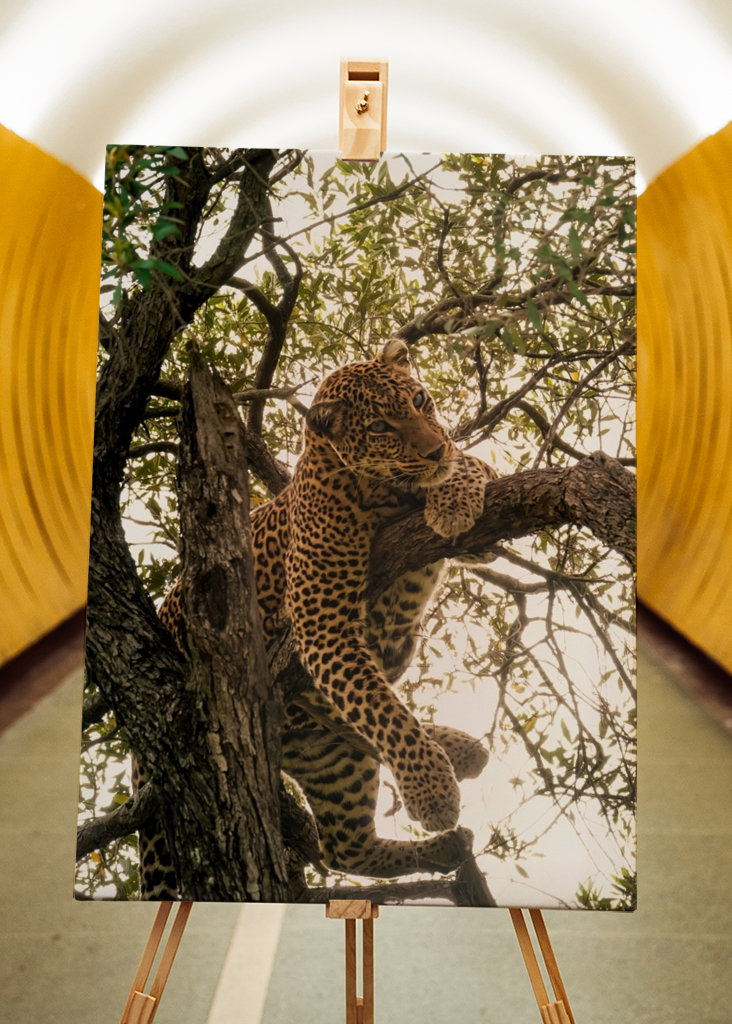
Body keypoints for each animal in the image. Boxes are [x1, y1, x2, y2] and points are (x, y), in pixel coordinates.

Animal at [135, 338, 496, 899]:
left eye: (420, 400)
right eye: (381, 427)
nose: (434, 449)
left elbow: (472, 468)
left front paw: (453, 500)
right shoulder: (323, 626)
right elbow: (382, 711)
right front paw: (431, 790)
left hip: (334, 763)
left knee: (346, 847)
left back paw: (452, 800)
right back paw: (450, 770)